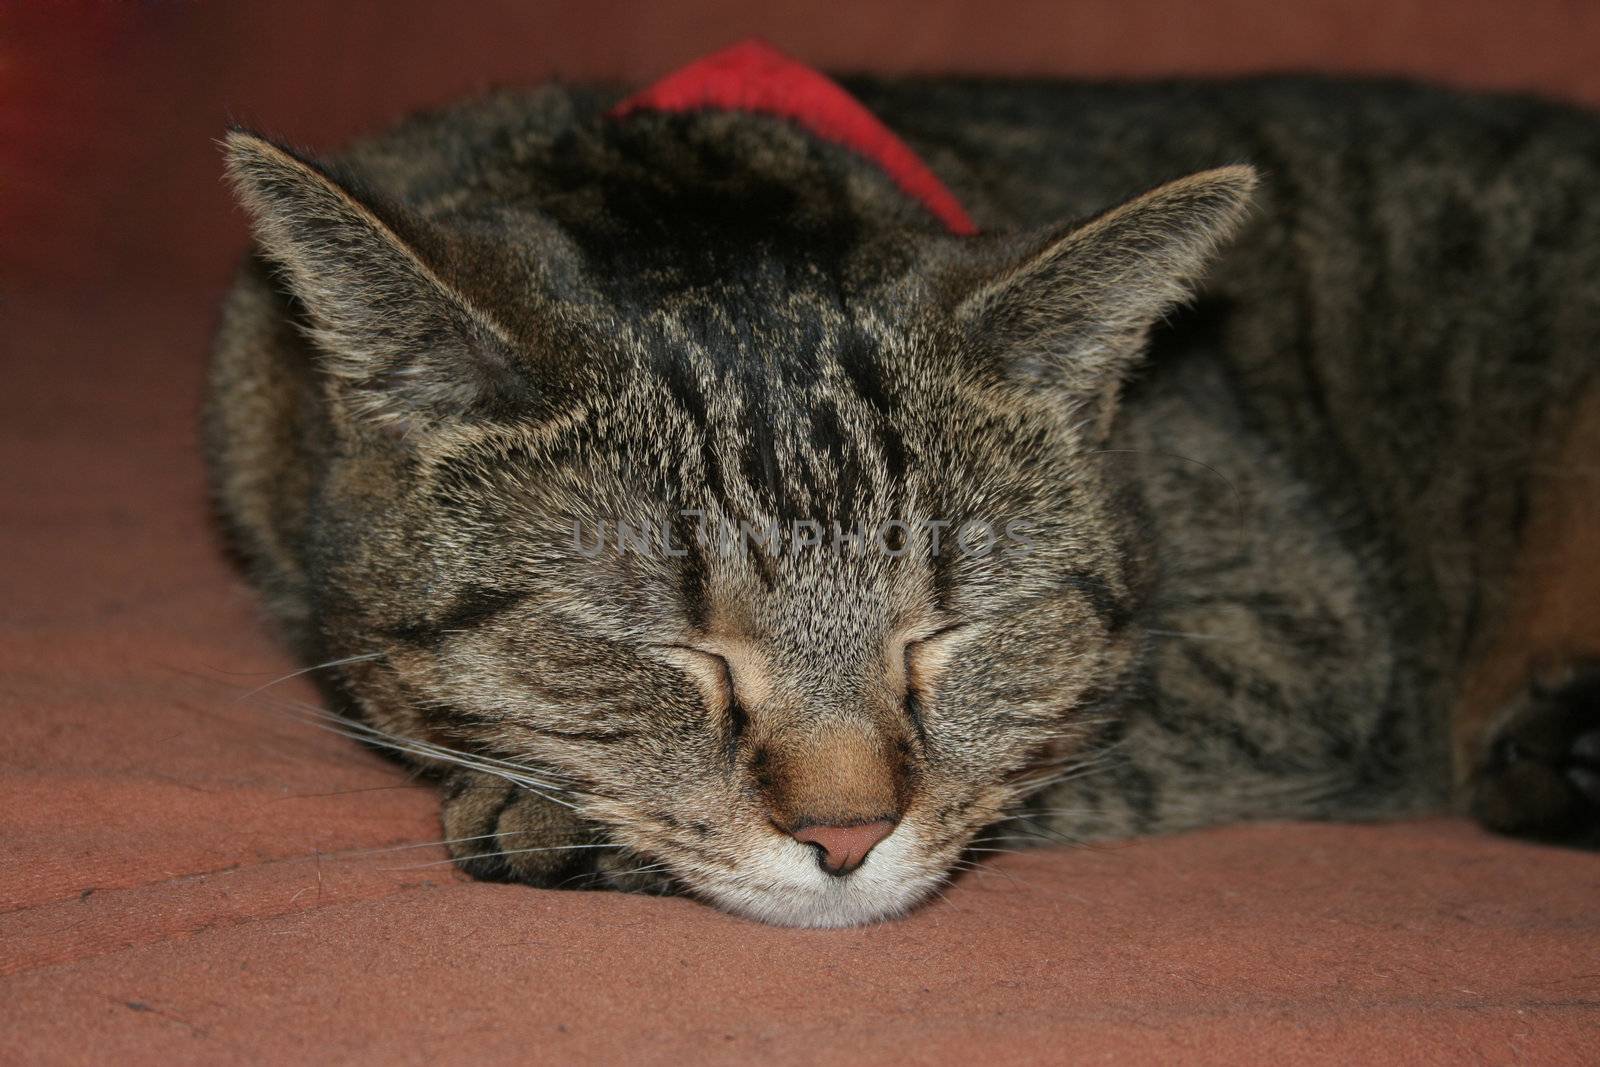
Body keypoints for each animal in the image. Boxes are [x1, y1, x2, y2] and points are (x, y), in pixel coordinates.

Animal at [206, 56, 1600, 927]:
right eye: (668, 650)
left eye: (948, 634)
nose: (845, 836)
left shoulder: (1307, 643)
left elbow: (1059, 752)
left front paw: (545, 819)